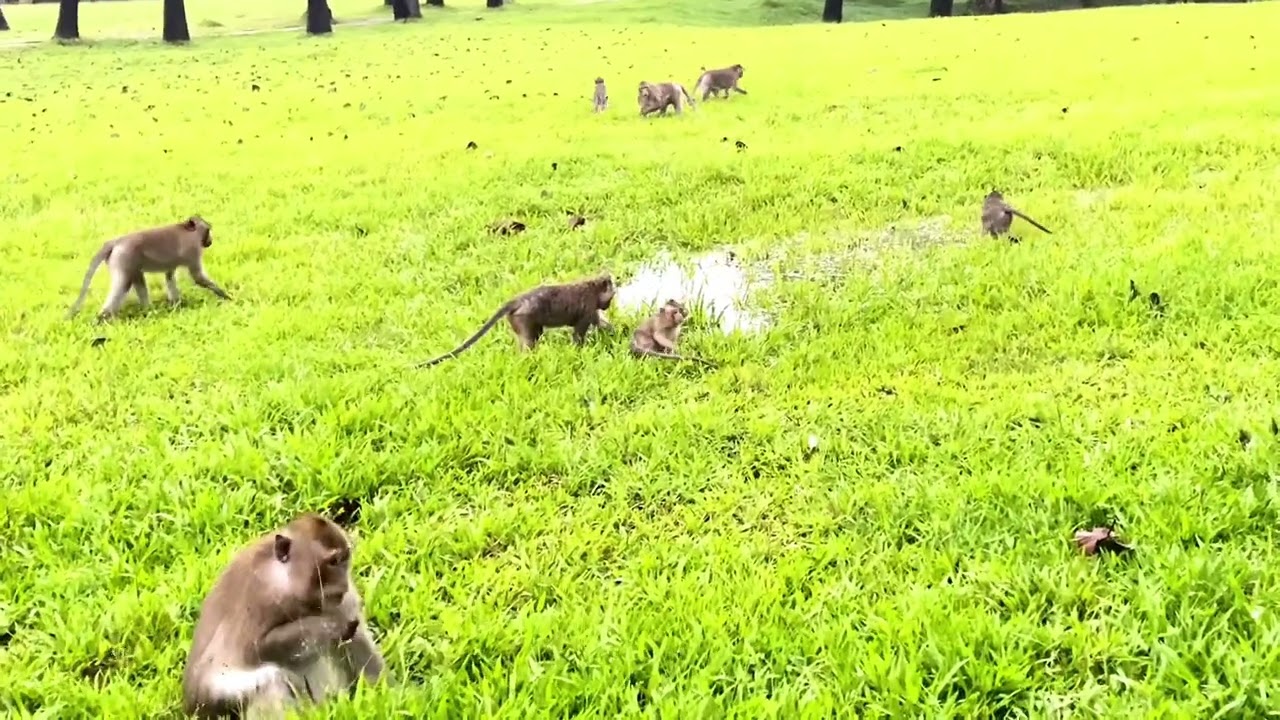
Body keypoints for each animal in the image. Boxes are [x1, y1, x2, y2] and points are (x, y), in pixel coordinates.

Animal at [65, 215, 232, 322]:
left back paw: (149, 311)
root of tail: (116, 241)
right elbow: (198, 277)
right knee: (124, 284)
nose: (210, 240)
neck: (189, 231)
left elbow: (169, 276)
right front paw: (226, 296)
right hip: (124, 258)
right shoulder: (193, 250)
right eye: (208, 230)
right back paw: (103, 317)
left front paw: (177, 305)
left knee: (136, 278)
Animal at [182, 513, 386, 719]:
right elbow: (257, 649)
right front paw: (334, 626)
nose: (344, 583)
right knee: (270, 680)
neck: (286, 583)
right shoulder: (257, 597)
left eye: (345, 559)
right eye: (333, 561)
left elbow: (357, 641)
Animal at [416, 274, 616, 367]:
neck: (594, 287)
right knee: (530, 339)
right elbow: (579, 334)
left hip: (516, 319)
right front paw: (578, 351)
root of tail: (517, 300)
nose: (607, 306)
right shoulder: (588, 307)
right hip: (523, 317)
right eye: (611, 296)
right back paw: (527, 359)